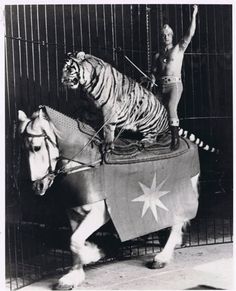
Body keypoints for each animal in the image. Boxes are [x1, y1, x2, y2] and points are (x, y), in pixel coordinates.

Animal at [18, 106, 199, 290]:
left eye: (37, 147)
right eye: (23, 148)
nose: (38, 186)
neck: (87, 163)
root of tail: (188, 142)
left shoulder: (99, 214)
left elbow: (75, 241)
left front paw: (93, 254)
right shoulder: (73, 213)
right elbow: (74, 242)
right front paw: (74, 276)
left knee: (177, 222)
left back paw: (162, 257)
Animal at [60, 51, 218, 154]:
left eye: (69, 68)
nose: (62, 80)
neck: (86, 84)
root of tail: (166, 122)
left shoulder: (110, 108)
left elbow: (108, 127)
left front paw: (107, 144)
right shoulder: (93, 106)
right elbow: (87, 114)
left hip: (146, 121)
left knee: (153, 138)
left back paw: (144, 142)